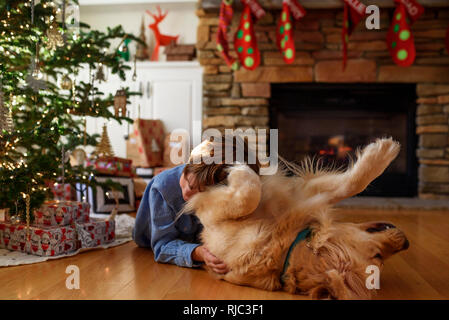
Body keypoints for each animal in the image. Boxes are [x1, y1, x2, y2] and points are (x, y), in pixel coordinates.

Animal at [180, 138, 408, 300]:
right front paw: (383, 153)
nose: (406, 243)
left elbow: (248, 195)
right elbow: (350, 184)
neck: (286, 244)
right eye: (378, 256)